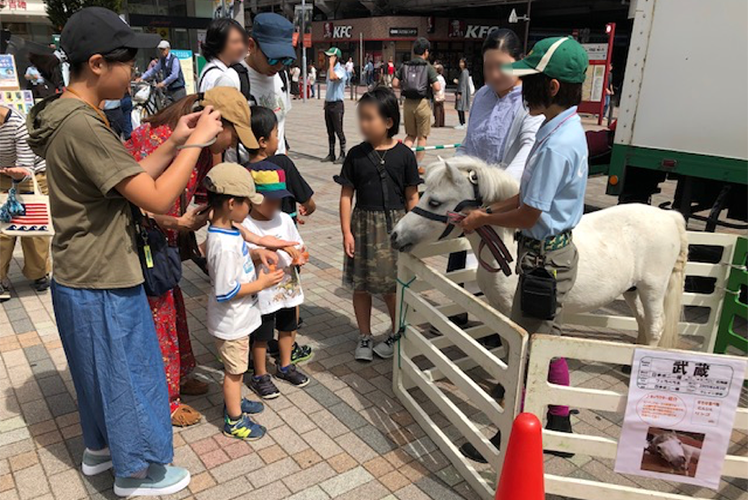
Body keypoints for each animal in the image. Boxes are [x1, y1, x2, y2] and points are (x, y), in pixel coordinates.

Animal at [392, 157, 688, 348]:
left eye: (434, 201)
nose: (395, 235)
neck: (508, 249)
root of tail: (669, 216)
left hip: (652, 289)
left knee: (655, 326)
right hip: (632, 290)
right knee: (643, 322)